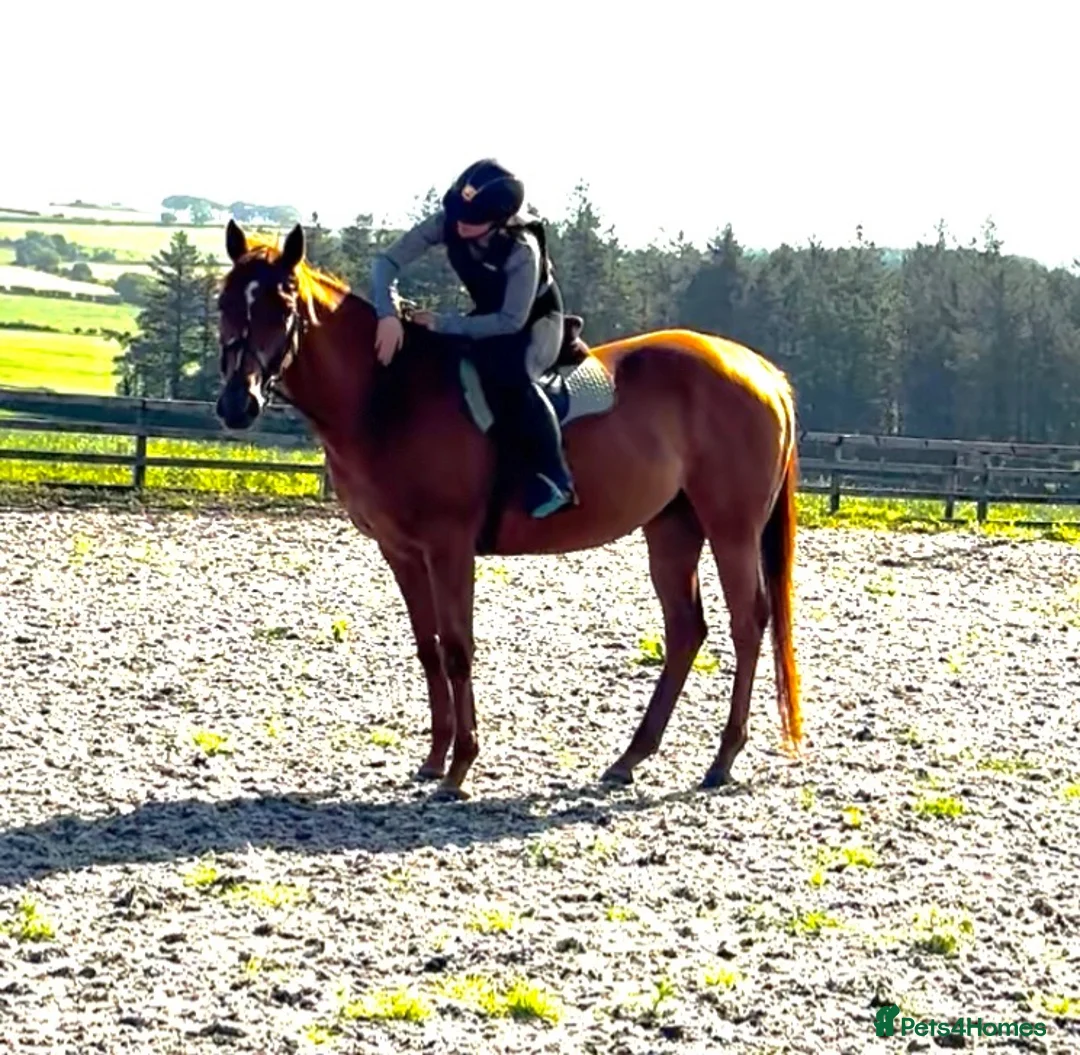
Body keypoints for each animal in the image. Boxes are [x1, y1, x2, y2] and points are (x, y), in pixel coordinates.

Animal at [213, 219, 803, 801]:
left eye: (283, 305)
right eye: (223, 302)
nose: (237, 405)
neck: (388, 393)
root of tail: (762, 372)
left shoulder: (448, 547)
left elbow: (457, 648)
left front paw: (459, 767)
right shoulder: (401, 552)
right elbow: (428, 648)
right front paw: (434, 759)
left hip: (731, 528)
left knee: (747, 622)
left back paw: (722, 758)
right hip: (672, 527)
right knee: (685, 630)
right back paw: (630, 758)